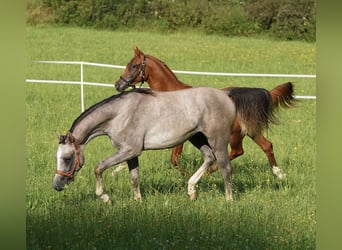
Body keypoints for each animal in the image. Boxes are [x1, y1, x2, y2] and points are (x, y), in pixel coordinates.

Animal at [53, 87, 268, 202]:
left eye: (67, 158)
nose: (56, 185)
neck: (119, 114)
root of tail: (226, 95)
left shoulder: (128, 150)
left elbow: (99, 168)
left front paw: (105, 197)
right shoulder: (131, 153)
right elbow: (134, 178)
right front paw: (138, 201)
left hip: (218, 141)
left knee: (225, 168)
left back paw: (228, 199)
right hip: (197, 138)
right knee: (209, 158)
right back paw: (191, 190)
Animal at [113, 47, 296, 178]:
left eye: (134, 66)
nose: (118, 84)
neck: (171, 94)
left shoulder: (179, 137)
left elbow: (174, 159)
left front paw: (189, 177)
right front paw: (117, 169)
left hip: (234, 135)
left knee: (237, 151)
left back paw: (211, 170)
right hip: (250, 131)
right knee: (267, 146)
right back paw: (279, 174)